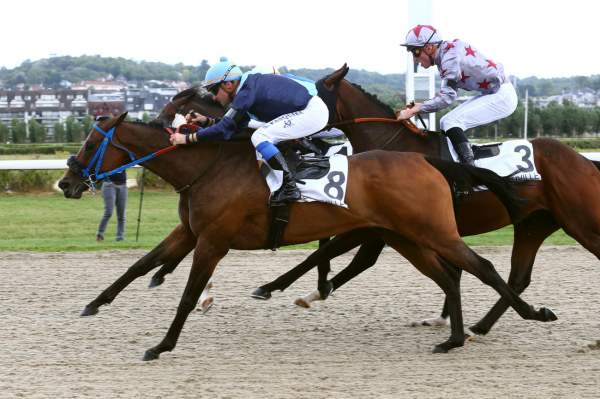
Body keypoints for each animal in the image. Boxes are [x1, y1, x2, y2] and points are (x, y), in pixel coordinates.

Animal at [58, 114, 556, 360]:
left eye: (90, 144)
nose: (67, 182)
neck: (208, 168)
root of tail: (428, 161)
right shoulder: (190, 232)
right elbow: (139, 264)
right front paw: (93, 304)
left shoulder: (213, 241)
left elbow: (187, 296)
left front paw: (160, 346)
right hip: (405, 236)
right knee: (451, 276)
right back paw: (453, 338)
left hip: (430, 230)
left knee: (481, 267)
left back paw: (529, 314)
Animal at [156, 66, 600, 338]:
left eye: (184, 104)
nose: (165, 119)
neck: (398, 146)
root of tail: (584, 160)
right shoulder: (379, 225)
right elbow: (339, 256)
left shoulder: (375, 227)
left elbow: (332, 255)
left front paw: (283, 288)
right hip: (534, 224)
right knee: (518, 276)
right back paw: (481, 325)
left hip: (581, 222)